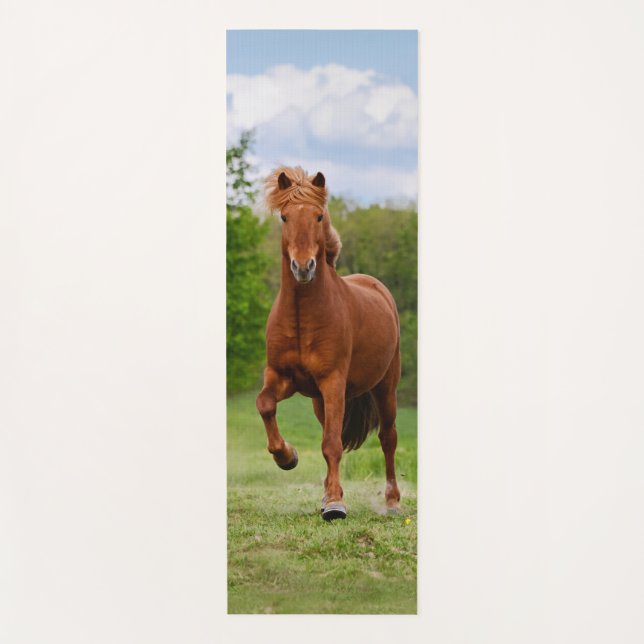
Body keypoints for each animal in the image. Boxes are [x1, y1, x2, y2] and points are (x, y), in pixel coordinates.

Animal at [256, 166, 402, 521]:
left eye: (318, 216)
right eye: (284, 217)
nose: (303, 267)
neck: (301, 317)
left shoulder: (333, 381)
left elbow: (332, 443)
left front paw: (335, 505)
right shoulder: (281, 377)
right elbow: (265, 404)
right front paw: (287, 457)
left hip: (385, 387)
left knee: (388, 438)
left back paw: (392, 501)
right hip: (319, 401)